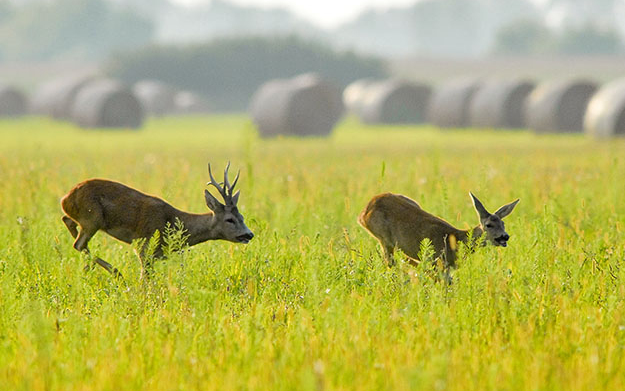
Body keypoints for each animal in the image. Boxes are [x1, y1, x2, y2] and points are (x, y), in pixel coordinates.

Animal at [59, 162, 254, 278]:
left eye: (242, 217)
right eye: (230, 219)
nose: (249, 234)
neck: (174, 222)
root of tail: (65, 198)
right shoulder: (144, 247)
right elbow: (145, 280)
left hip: (86, 219)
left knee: (69, 223)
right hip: (93, 218)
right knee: (79, 244)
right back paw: (116, 273)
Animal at [358, 193, 520, 278]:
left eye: (503, 224)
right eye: (489, 225)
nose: (505, 236)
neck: (456, 240)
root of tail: (364, 212)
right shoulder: (438, 263)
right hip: (384, 238)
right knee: (390, 263)